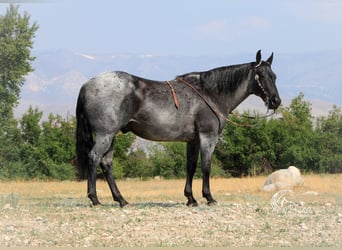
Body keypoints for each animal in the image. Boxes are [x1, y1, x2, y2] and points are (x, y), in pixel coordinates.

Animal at [75, 49, 280, 207]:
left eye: (274, 76)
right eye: (261, 76)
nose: (276, 101)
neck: (211, 93)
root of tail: (87, 84)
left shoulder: (193, 141)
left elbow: (190, 166)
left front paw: (191, 199)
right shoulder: (208, 137)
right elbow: (206, 166)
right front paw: (209, 197)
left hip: (111, 137)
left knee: (106, 163)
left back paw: (121, 200)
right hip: (105, 135)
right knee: (94, 158)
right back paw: (95, 199)